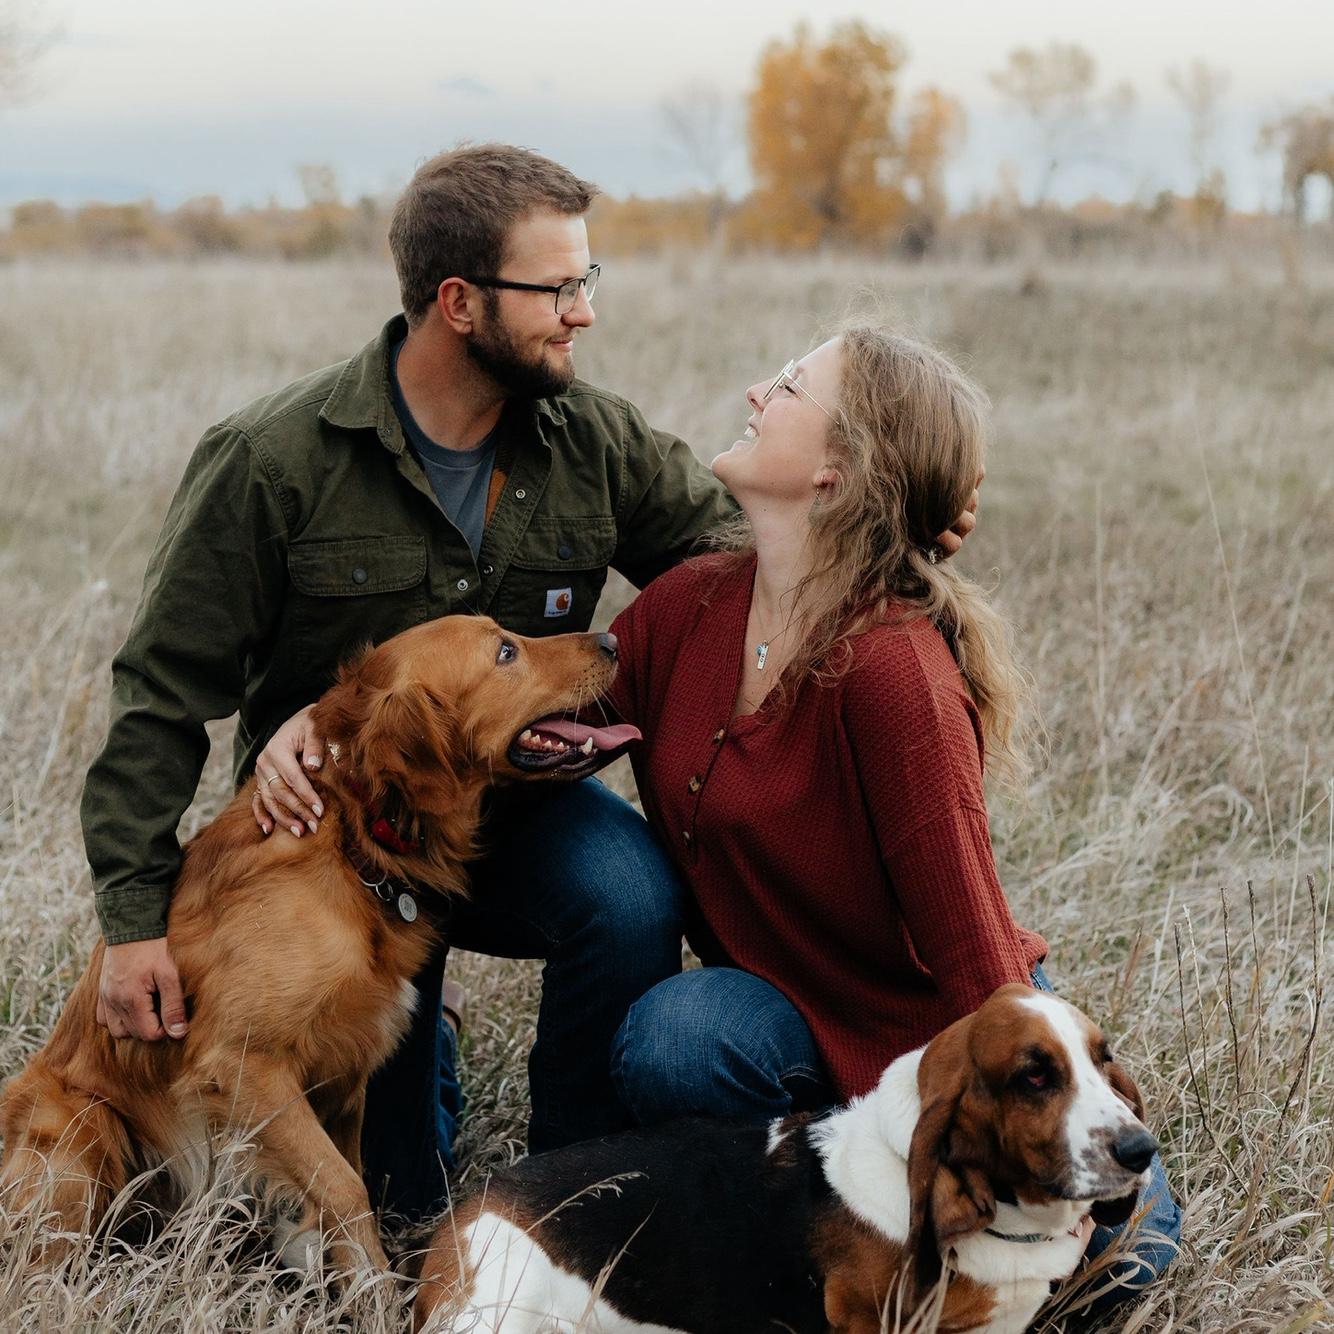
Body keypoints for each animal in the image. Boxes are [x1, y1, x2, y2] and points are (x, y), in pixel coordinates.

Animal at [0, 615, 639, 1276]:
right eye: (506, 652)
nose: (614, 642)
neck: (352, 842)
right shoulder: (245, 1067)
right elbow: (344, 1187)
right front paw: (376, 1289)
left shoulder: (346, 1070)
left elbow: (344, 1180)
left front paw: (348, 1281)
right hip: (83, 1126)